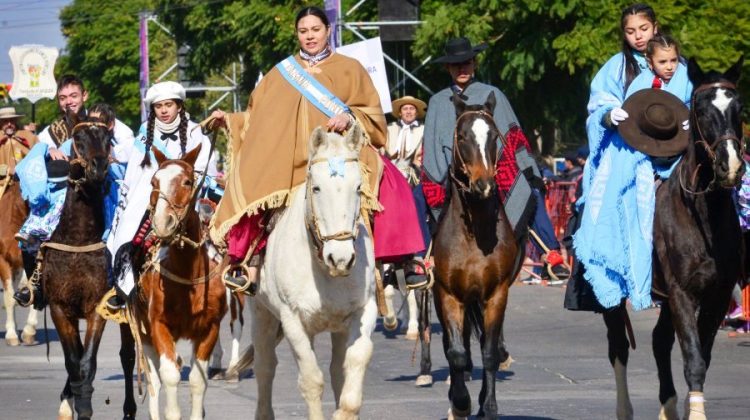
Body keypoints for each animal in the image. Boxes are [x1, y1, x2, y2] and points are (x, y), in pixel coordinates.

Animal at [40, 120, 137, 420]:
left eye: (107, 138)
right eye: (78, 138)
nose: (99, 166)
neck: (78, 239)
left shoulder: (97, 308)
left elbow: (87, 362)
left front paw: (83, 406)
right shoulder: (60, 308)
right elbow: (73, 361)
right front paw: (68, 402)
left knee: (128, 356)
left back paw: (129, 410)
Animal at [135, 145, 228, 420]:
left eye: (187, 181)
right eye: (154, 182)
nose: (162, 223)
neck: (188, 276)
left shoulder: (210, 328)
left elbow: (198, 380)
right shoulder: (158, 325)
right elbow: (168, 376)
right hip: (143, 332)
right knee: (154, 380)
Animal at [248, 124, 376, 420]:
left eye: (359, 187)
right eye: (316, 188)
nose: (340, 259)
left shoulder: (363, 310)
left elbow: (356, 359)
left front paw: (345, 411)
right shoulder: (293, 320)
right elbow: (311, 380)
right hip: (261, 312)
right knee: (264, 366)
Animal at [432, 92, 524, 420]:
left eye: (494, 136)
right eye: (462, 136)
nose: (483, 184)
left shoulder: (496, 295)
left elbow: (490, 352)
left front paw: (489, 406)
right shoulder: (448, 295)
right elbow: (457, 354)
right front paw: (460, 403)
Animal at [604, 58, 748, 420]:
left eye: (739, 107)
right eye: (700, 109)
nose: (731, 166)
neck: (704, 219)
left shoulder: (716, 295)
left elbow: (701, 356)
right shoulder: (682, 293)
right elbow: (693, 358)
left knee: (658, 341)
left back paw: (667, 406)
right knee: (618, 348)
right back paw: (624, 409)